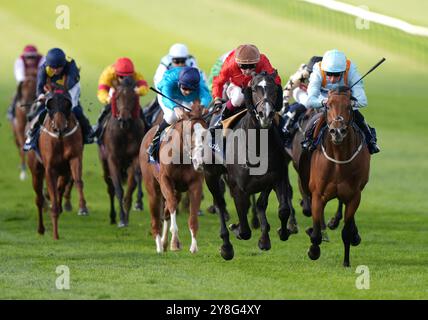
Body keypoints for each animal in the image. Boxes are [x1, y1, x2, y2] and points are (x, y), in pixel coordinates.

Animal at [26, 87, 88, 238]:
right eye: (49, 105)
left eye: (67, 104)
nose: (59, 127)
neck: (60, 138)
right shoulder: (50, 168)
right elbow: (52, 195)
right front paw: (55, 234)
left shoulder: (74, 158)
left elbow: (78, 181)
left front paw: (82, 207)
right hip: (36, 171)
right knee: (39, 199)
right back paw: (41, 228)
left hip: (64, 171)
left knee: (59, 188)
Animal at [98, 77, 145, 228]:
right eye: (117, 97)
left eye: (133, 97)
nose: (124, 120)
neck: (125, 132)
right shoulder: (112, 159)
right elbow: (118, 188)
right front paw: (122, 218)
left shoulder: (135, 156)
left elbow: (135, 180)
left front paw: (137, 203)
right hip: (104, 163)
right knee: (110, 188)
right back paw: (113, 216)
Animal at [140, 101, 208, 254]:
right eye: (189, 132)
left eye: (206, 133)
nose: (199, 161)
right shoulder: (165, 180)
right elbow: (171, 204)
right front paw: (175, 241)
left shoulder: (196, 184)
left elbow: (193, 215)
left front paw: (193, 246)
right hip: (153, 188)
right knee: (156, 217)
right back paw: (159, 245)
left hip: (177, 190)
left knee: (166, 212)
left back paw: (164, 243)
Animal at [205, 72, 294, 260]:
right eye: (253, 89)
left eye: (274, 88)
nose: (265, 114)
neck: (257, 144)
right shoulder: (239, 187)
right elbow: (245, 230)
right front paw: (237, 229)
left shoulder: (276, 177)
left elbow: (281, 209)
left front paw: (277, 234)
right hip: (210, 175)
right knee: (219, 203)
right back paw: (226, 245)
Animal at [300, 86, 372, 266]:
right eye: (328, 105)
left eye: (349, 106)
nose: (338, 131)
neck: (339, 160)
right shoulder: (318, 195)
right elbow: (316, 232)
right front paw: (313, 250)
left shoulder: (354, 196)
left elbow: (346, 231)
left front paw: (346, 261)